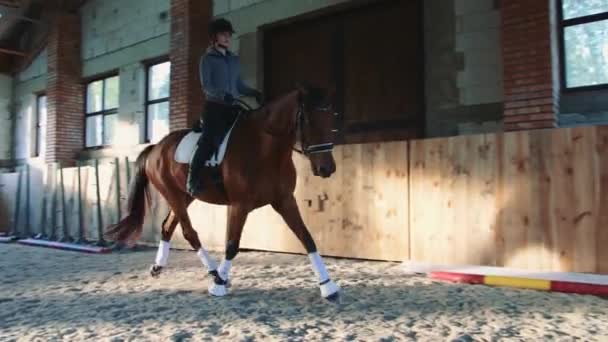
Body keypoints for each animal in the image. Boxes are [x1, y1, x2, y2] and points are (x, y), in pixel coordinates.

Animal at [105, 85, 342, 302]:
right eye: (308, 121)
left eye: (331, 119)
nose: (327, 169)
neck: (264, 148)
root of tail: (155, 148)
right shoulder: (239, 205)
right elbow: (231, 245)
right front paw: (218, 287)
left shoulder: (284, 200)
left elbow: (307, 238)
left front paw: (327, 286)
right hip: (172, 194)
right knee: (189, 232)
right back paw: (216, 275)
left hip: (184, 197)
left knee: (167, 227)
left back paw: (160, 267)